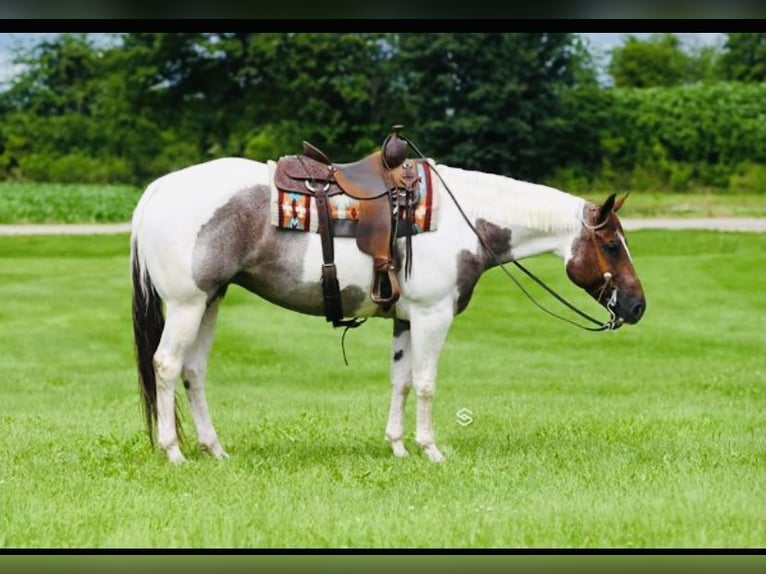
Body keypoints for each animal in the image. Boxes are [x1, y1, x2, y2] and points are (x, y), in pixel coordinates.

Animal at [130, 151, 646, 464]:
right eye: (612, 245)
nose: (638, 306)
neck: (464, 219)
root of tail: (157, 189)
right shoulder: (433, 315)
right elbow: (426, 383)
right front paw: (431, 449)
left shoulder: (405, 318)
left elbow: (401, 381)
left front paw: (398, 446)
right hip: (187, 304)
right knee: (167, 365)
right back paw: (173, 450)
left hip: (210, 302)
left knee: (193, 371)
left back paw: (214, 449)